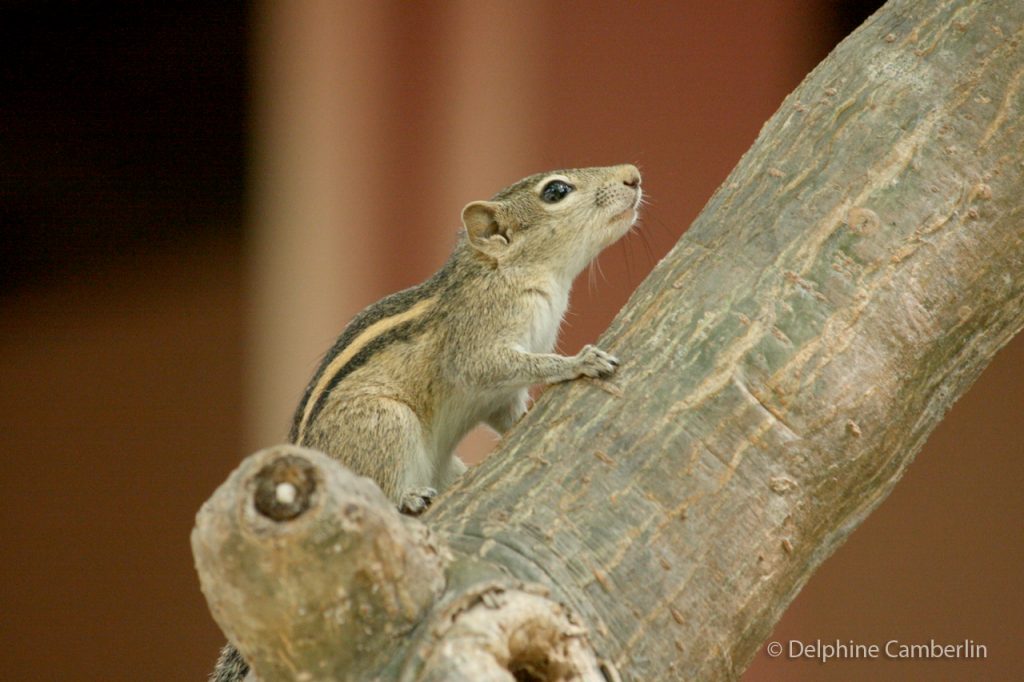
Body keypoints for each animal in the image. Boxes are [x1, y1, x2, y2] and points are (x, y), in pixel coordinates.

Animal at [207, 161, 638, 675]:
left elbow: (508, 411)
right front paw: (578, 362)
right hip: (388, 422)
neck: (514, 271)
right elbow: (504, 367)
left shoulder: (501, 391)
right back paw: (408, 498)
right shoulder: (478, 345)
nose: (633, 175)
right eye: (556, 191)